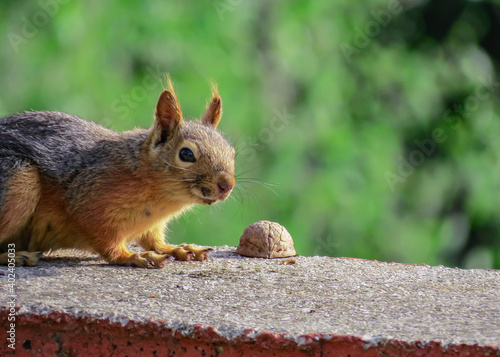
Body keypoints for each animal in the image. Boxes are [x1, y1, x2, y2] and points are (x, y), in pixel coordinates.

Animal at [0, 78, 236, 268]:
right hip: (19, 185)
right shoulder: (89, 203)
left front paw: (178, 248)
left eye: (232, 151)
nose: (227, 185)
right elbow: (107, 244)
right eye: (186, 154)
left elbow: (154, 241)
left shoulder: (152, 226)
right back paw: (18, 256)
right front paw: (132, 256)